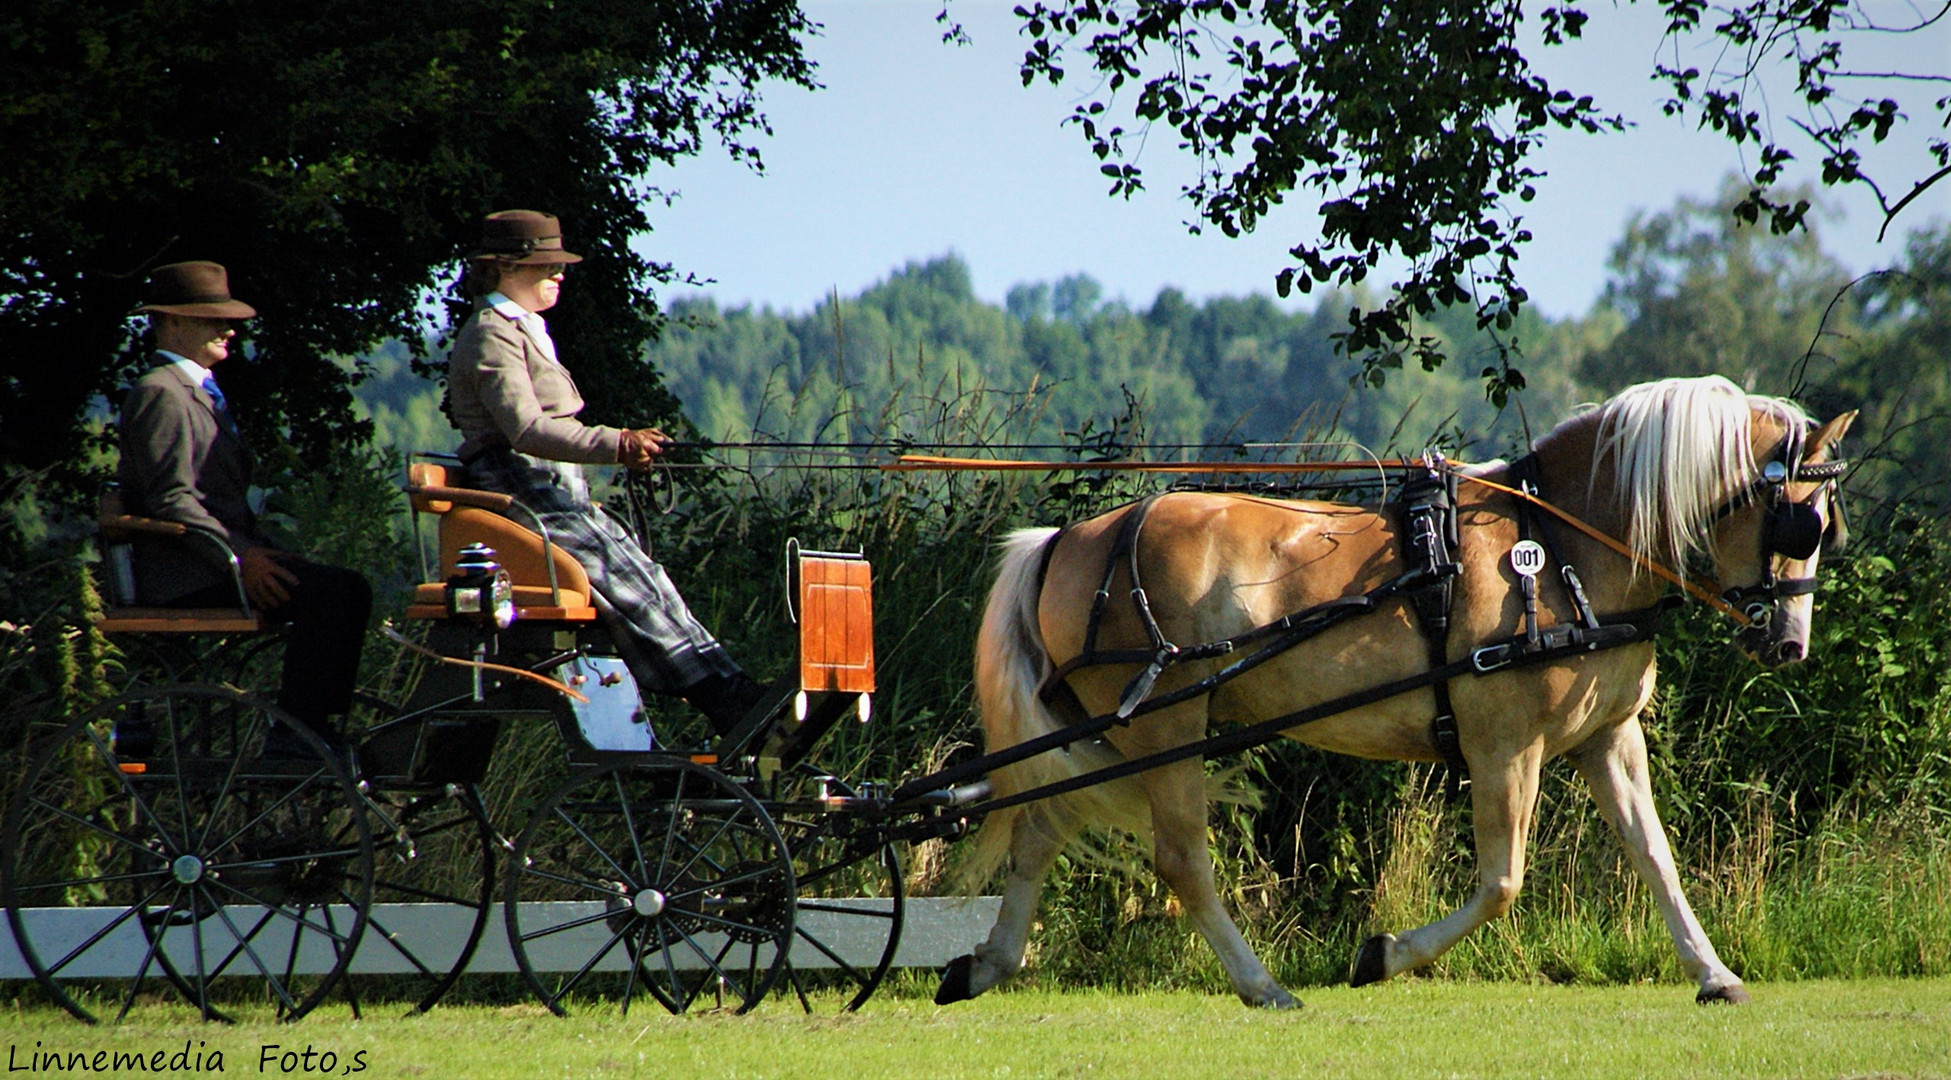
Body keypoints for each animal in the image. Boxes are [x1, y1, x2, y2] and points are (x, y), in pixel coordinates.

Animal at [944, 374, 1857, 1005]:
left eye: (1824, 527)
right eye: (1801, 520)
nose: (1788, 644)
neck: (1562, 545)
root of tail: (1067, 540)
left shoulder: (1606, 736)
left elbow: (1653, 855)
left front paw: (1713, 974)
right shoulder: (1502, 747)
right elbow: (1501, 881)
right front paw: (1381, 954)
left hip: (1105, 730)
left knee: (1039, 832)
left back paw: (984, 965)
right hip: (1166, 733)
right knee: (1179, 862)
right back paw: (1261, 985)